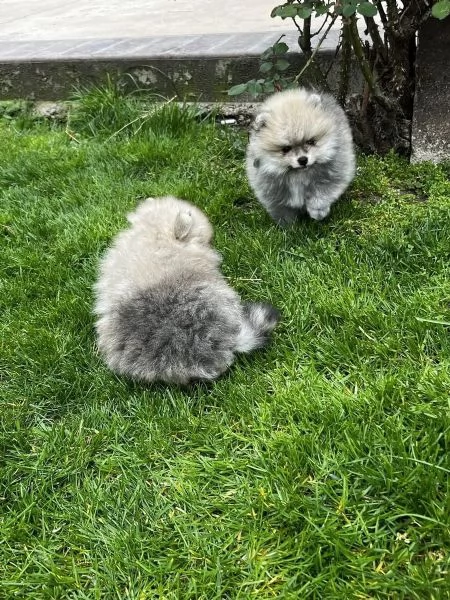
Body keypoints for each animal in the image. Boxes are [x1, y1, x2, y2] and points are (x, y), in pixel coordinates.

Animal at [246, 85, 356, 224]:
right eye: (286, 148)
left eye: (310, 141)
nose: (303, 160)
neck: (298, 175)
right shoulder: (271, 189)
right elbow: (281, 208)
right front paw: (288, 226)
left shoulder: (333, 173)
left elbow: (322, 192)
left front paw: (317, 210)